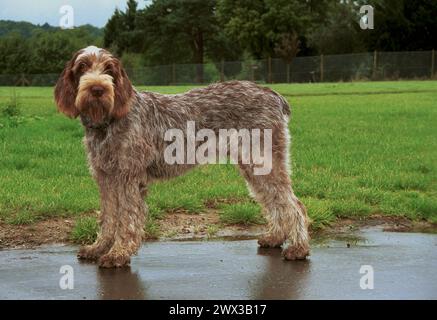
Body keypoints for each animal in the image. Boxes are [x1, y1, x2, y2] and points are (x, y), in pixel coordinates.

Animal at [53, 46, 310, 268]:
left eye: (109, 69)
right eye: (83, 66)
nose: (97, 89)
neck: (108, 123)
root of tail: (273, 95)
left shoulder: (128, 178)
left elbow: (126, 219)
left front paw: (118, 253)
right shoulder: (105, 177)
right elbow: (108, 217)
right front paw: (99, 247)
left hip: (262, 161)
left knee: (293, 204)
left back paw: (299, 248)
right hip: (253, 166)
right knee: (275, 201)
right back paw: (276, 237)